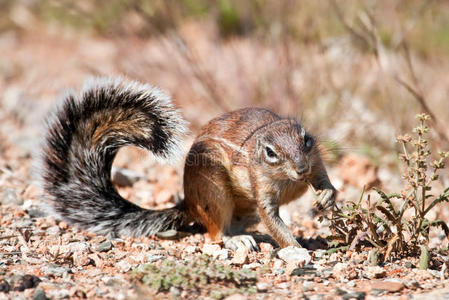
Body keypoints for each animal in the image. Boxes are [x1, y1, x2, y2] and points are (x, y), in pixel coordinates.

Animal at [42, 78, 334, 251]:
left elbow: (324, 181)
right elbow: (273, 221)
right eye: (271, 153)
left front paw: (326, 197)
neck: (289, 180)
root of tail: (189, 204)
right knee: (215, 234)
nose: (301, 169)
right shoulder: (261, 189)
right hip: (214, 194)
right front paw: (297, 250)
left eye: (306, 138)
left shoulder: (316, 162)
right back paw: (238, 240)